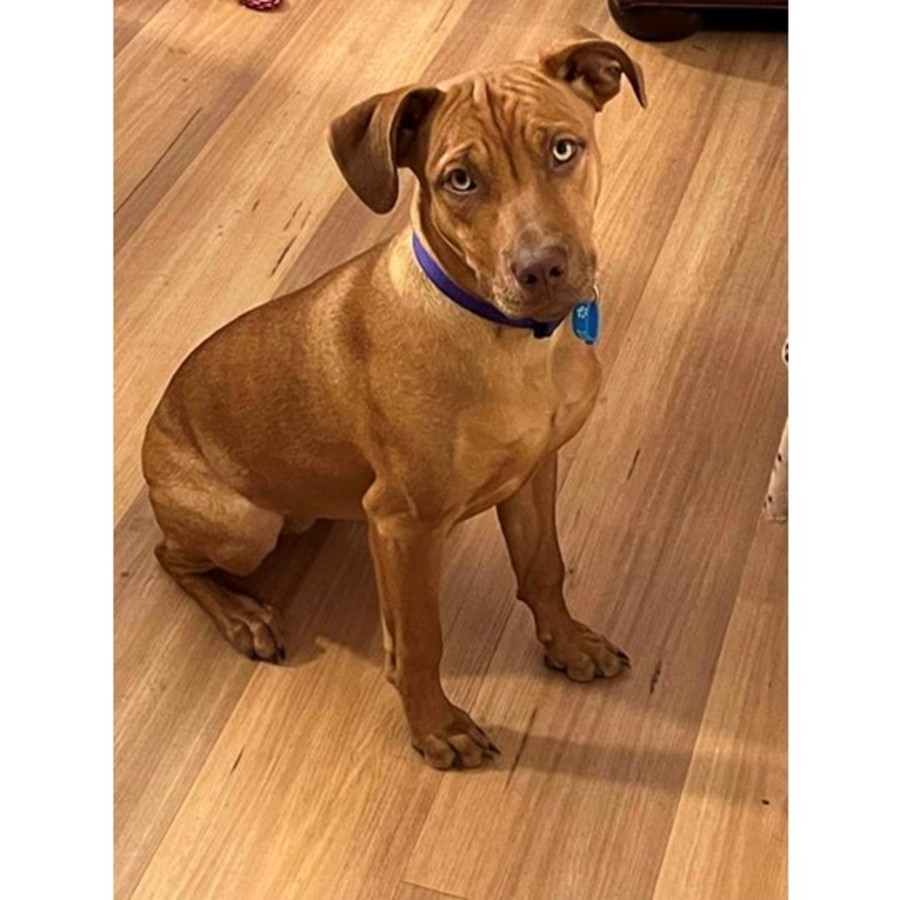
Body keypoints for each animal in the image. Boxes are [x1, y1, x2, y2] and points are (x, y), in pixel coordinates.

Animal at [142, 28, 647, 769]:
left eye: (563, 149)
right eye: (459, 180)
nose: (543, 270)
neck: (509, 343)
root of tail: (154, 433)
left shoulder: (533, 472)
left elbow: (543, 568)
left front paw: (569, 643)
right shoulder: (406, 524)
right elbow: (420, 641)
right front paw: (435, 727)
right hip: (243, 526)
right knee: (169, 556)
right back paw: (243, 614)